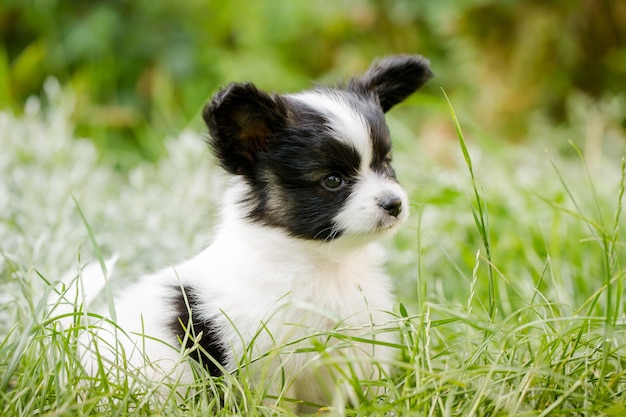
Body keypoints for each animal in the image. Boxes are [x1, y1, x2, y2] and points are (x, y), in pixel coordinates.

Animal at [66, 54, 432, 410]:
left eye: (386, 164)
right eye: (333, 180)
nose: (394, 203)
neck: (325, 264)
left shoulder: (359, 353)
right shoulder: (268, 369)